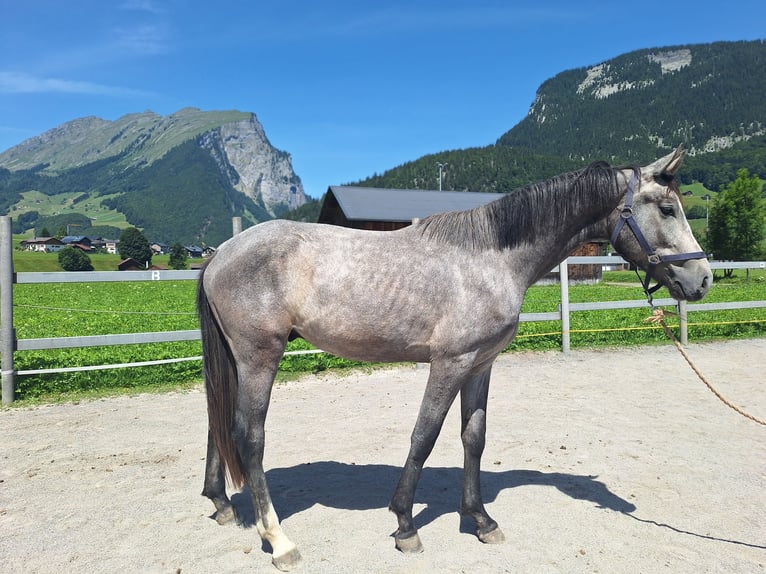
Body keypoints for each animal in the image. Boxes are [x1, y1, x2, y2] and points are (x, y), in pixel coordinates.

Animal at [196, 146, 711, 570]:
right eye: (667, 208)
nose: (703, 279)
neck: (490, 259)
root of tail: (221, 252)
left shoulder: (481, 366)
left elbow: (473, 438)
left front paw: (480, 520)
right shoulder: (451, 363)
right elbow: (424, 436)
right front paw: (405, 524)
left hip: (238, 361)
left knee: (218, 425)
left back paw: (221, 504)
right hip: (260, 357)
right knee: (249, 437)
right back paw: (279, 540)